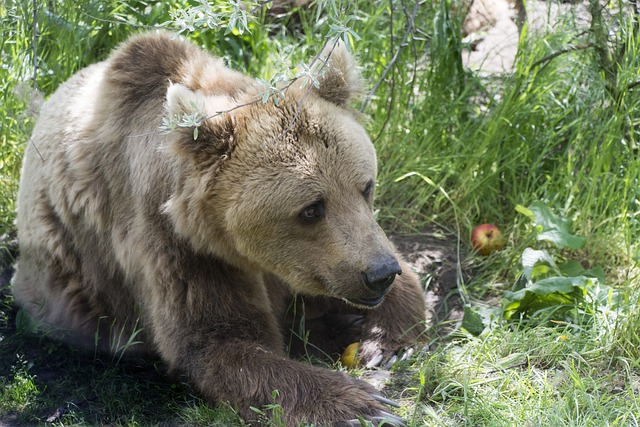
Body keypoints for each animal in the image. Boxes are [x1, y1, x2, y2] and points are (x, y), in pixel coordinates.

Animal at [12, 31, 424, 426]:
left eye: (365, 186)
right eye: (311, 209)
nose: (379, 274)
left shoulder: (317, 259)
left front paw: (382, 344)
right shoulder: (177, 243)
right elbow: (218, 342)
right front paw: (364, 405)